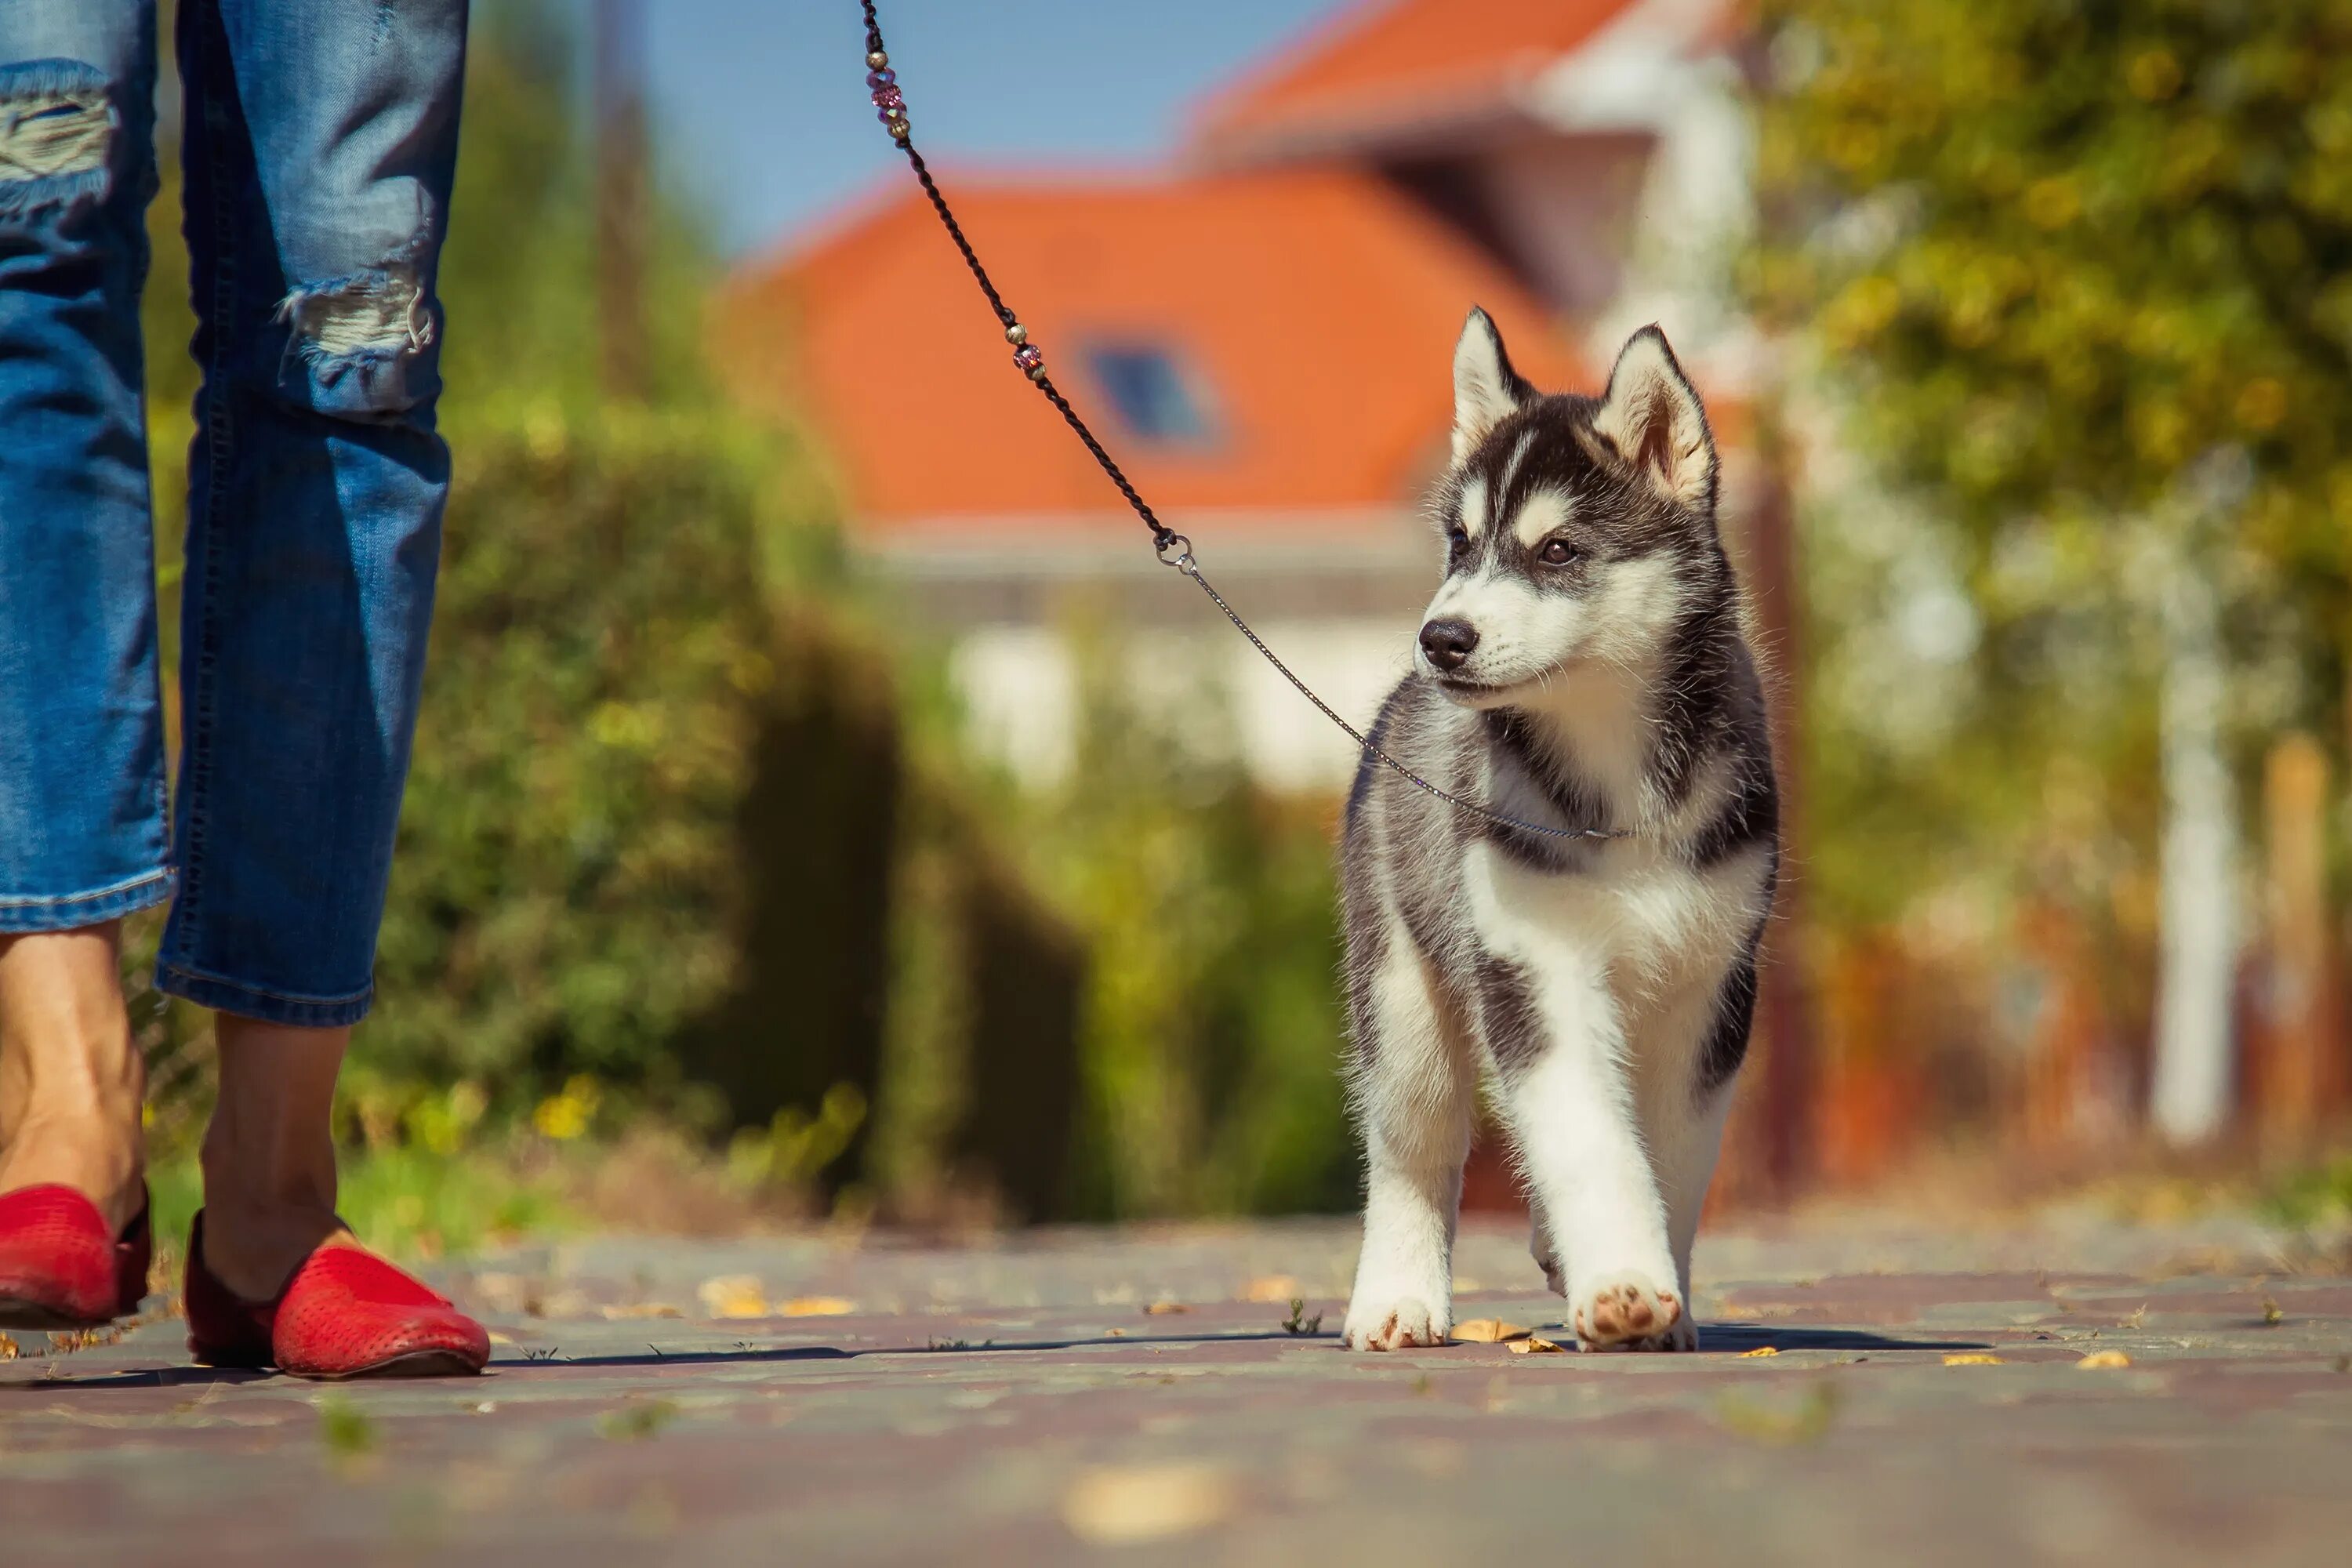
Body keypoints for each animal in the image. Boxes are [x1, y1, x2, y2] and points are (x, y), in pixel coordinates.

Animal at [1345, 312, 1769, 1354]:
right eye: (1460, 542)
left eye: (1561, 549)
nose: (1442, 637)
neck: (1617, 777)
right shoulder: (1535, 967)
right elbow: (1588, 1137)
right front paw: (1622, 1283)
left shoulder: (1711, 988)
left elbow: (1670, 1159)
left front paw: (1662, 1297)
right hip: (1405, 992)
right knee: (1413, 1147)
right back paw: (1396, 1298)